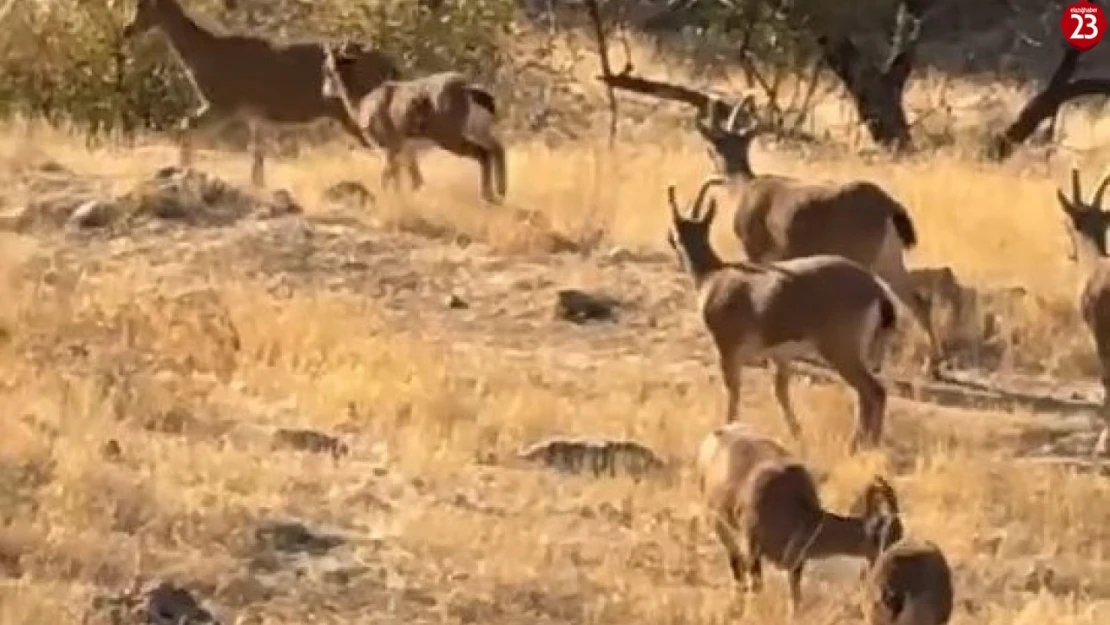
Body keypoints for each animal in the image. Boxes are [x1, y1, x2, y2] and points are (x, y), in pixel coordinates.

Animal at [122, 0, 399, 187]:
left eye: (144, 4)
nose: (127, 29)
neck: (203, 55)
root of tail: (390, 64)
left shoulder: (223, 104)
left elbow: (185, 125)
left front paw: (182, 172)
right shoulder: (252, 114)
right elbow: (257, 151)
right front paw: (258, 184)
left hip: (355, 112)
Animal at [317, 44, 508, 205]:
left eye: (328, 69)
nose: (325, 92)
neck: (362, 101)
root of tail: (469, 90)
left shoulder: (389, 147)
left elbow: (388, 176)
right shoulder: (405, 151)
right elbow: (409, 180)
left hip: (451, 139)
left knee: (483, 154)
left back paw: (488, 196)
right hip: (478, 131)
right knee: (497, 148)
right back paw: (500, 192)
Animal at [661, 178, 896, 448]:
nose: (670, 240)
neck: (713, 276)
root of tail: (875, 289)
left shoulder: (728, 349)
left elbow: (734, 390)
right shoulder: (781, 355)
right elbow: (781, 392)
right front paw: (796, 434)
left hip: (841, 351)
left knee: (873, 391)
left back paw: (857, 446)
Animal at [692, 102, 945, 377]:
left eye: (711, 148)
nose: (714, 171)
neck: (744, 189)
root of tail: (889, 206)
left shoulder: (756, 251)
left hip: (865, 258)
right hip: (889, 260)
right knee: (917, 301)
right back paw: (931, 365)